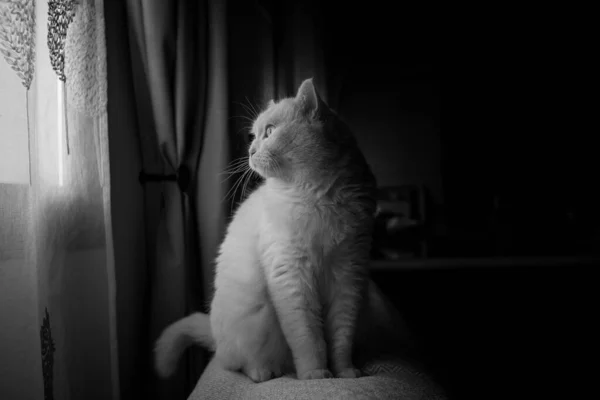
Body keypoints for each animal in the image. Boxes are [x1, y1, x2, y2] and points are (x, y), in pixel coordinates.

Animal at [154, 79, 412, 384]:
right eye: (253, 136)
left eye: (269, 132)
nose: (251, 152)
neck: (318, 197)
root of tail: (215, 334)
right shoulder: (292, 275)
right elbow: (309, 338)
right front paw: (315, 375)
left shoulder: (348, 275)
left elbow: (340, 339)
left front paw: (345, 373)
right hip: (249, 324)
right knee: (237, 363)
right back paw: (264, 372)